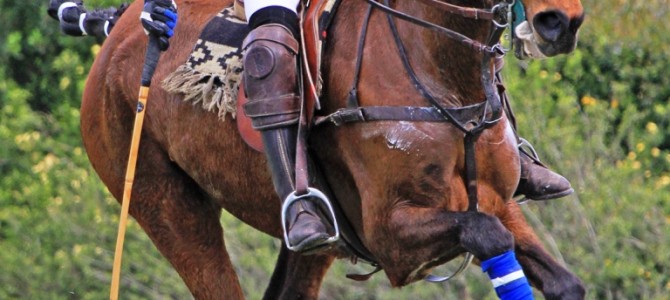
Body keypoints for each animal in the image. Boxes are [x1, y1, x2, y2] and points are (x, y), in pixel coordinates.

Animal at [81, 0, 588, 298]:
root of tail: (119, 30)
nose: (560, 21)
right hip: (162, 202)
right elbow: (489, 236)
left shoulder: (493, 198)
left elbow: (564, 282)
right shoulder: (391, 236)